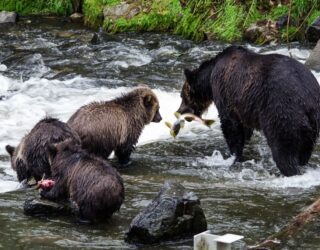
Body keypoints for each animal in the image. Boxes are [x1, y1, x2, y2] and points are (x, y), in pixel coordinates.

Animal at [176, 46, 320, 177]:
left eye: (182, 96)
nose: (180, 111)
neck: (210, 77)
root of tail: (307, 100)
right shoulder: (244, 105)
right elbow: (244, 127)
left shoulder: (225, 92)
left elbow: (230, 125)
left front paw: (233, 155)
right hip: (312, 125)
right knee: (304, 151)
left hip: (281, 110)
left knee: (283, 149)